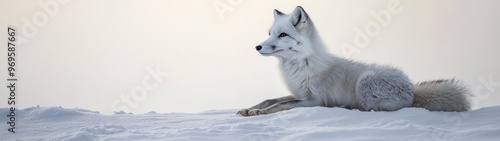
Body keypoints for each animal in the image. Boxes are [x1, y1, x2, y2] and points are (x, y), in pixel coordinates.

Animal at [236, 6, 470, 116]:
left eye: (282, 35)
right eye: (269, 33)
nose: (257, 47)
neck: (302, 64)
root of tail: (413, 90)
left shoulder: (314, 99)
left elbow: (281, 105)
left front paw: (258, 113)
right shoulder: (299, 93)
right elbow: (270, 100)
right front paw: (249, 109)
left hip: (365, 81)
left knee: (375, 110)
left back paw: (347, 107)